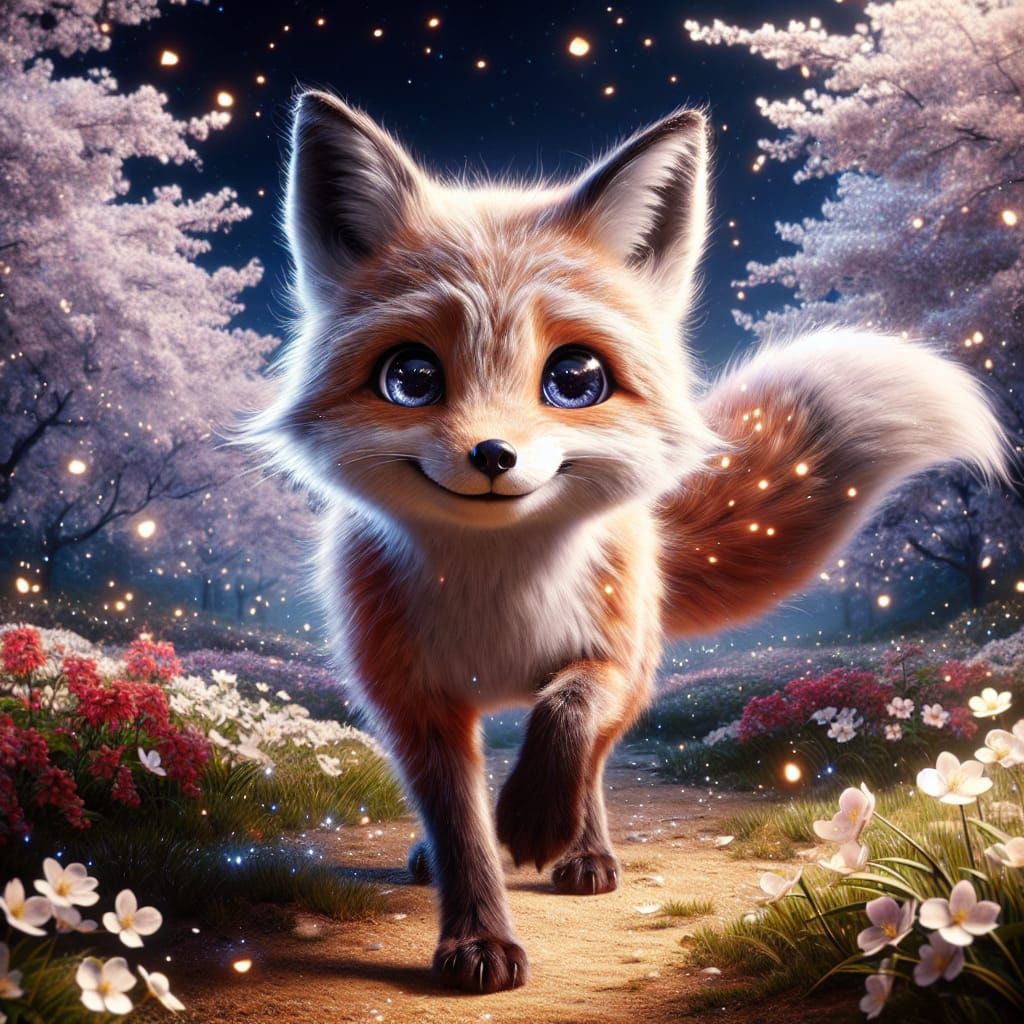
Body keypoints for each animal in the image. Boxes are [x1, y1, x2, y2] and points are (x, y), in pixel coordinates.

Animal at [246, 91, 1005, 993]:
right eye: (411, 378)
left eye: (575, 380)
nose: (492, 456)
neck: (498, 599)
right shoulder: (413, 700)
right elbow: (463, 830)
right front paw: (478, 937)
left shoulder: (611, 657)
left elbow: (569, 717)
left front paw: (536, 823)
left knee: (596, 760)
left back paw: (584, 850)